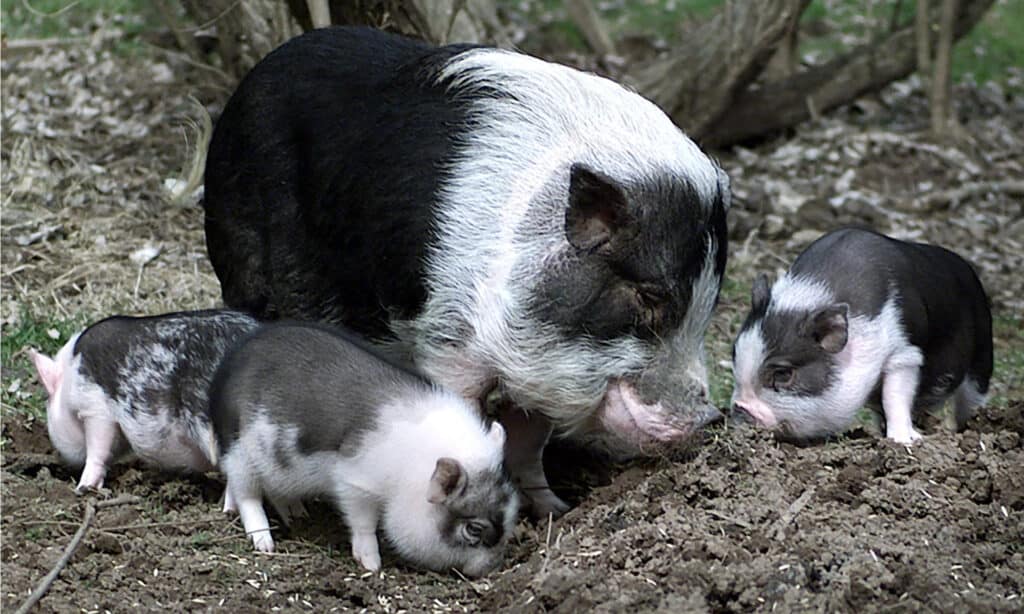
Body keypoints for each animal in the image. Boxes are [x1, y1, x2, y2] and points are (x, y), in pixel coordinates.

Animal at [30, 309, 260, 491]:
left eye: (48, 404)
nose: (61, 457)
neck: (69, 374)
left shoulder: (94, 406)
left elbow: (97, 447)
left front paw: (83, 488)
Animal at [201, 26, 729, 515]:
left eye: (708, 304)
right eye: (650, 295)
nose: (710, 418)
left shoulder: (534, 367)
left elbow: (527, 440)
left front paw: (554, 511)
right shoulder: (450, 342)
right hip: (245, 263)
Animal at [215, 321, 520, 577]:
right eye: (474, 528)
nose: (491, 570)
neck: (411, 476)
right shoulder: (355, 480)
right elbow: (363, 523)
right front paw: (373, 567)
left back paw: (296, 514)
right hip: (240, 450)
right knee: (246, 492)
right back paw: (263, 542)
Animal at [733, 228, 995, 444]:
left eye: (783, 374)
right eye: (735, 358)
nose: (740, 408)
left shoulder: (905, 354)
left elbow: (894, 396)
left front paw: (904, 441)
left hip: (982, 355)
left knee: (972, 399)